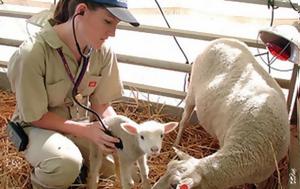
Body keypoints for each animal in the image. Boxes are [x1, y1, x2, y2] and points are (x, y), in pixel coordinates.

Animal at [151, 37, 290, 188]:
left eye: (173, 185)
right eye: (167, 166)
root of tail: (220, 39)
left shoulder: (262, 178)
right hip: (192, 90)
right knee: (184, 120)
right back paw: (176, 143)